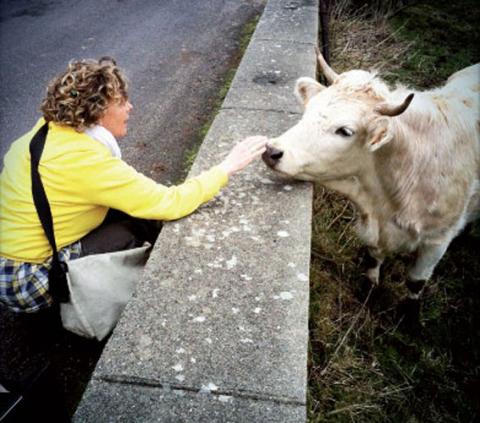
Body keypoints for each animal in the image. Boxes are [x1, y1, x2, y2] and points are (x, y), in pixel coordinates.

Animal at [264, 54, 478, 300]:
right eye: (307, 113)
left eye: (345, 131)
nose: (272, 150)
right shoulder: (373, 232)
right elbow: (372, 264)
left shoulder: (436, 242)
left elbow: (415, 284)